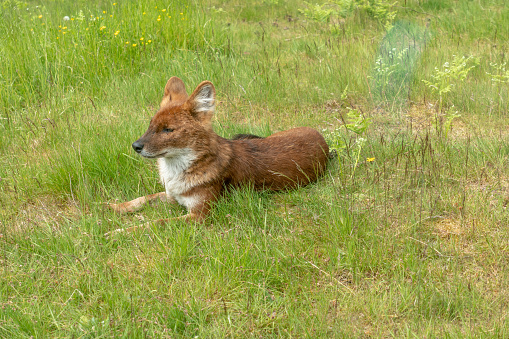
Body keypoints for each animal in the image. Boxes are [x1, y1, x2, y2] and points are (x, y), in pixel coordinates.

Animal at [108, 78, 330, 235]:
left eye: (168, 130)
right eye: (151, 125)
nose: (136, 146)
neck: (177, 170)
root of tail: (323, 140)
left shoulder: (200, 215)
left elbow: (156, 223)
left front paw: (118, 232)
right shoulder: (173, 196)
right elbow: (144, 198)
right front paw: (114, 207)